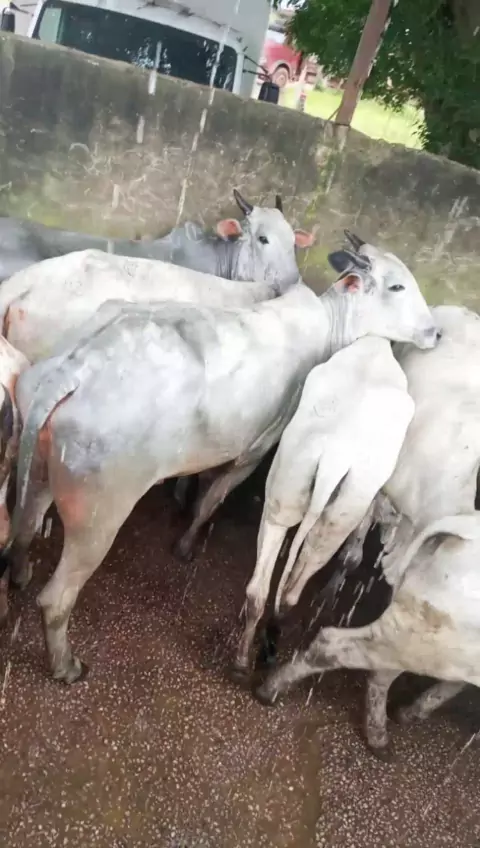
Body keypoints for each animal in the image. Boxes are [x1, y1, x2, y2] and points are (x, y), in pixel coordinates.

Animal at [233, 334, 415, 676]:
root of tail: (333, 460)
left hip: (286, 488)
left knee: (260, 588)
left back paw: (243, 659)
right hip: (338, 517)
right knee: (293, 589)